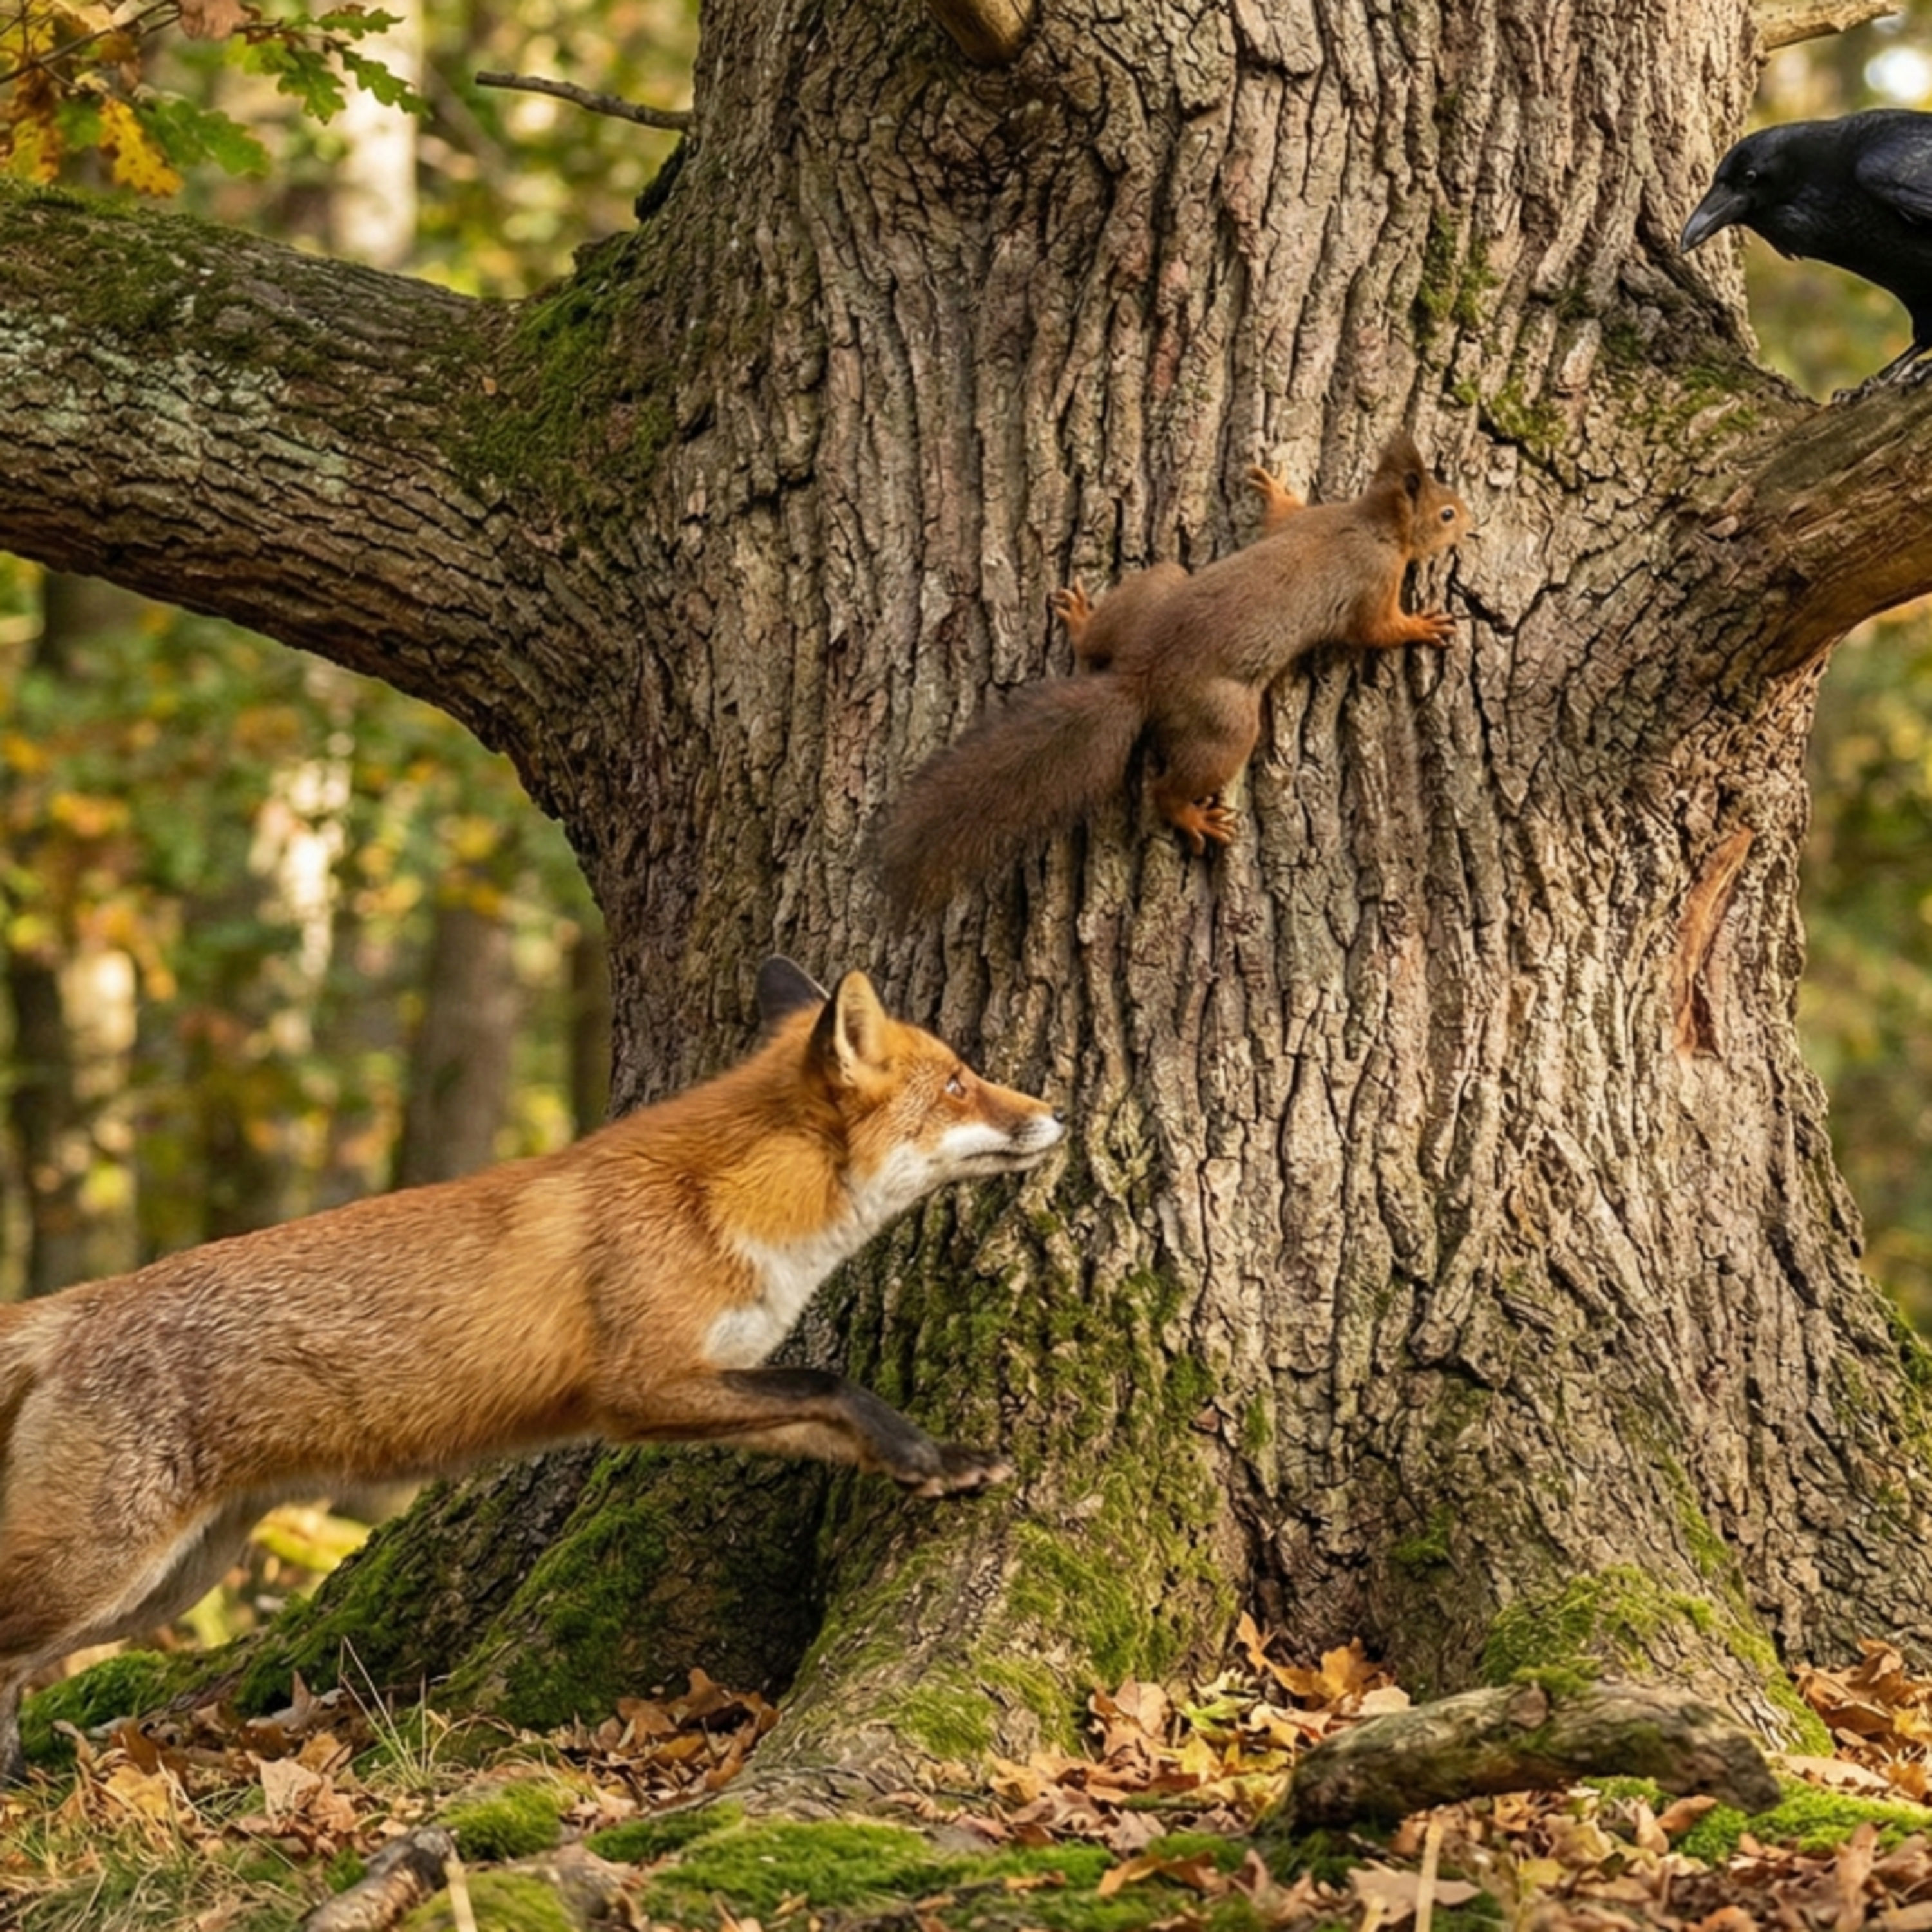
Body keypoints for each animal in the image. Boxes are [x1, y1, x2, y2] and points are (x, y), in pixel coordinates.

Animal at [874, 431, 1470, 913]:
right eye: (1446, 514)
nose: (1471, 520)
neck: (1369, 521)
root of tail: (1139, 679)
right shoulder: (1372, 584)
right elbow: (1378, 630)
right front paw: (1424, 625)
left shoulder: (1309, 519)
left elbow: (1283, 515)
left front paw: (1274, 487)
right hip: (1224, 723)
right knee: (1166, 787)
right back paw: (1191, 817)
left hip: (1157, 588)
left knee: (1108, 634)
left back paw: (1082, 622)